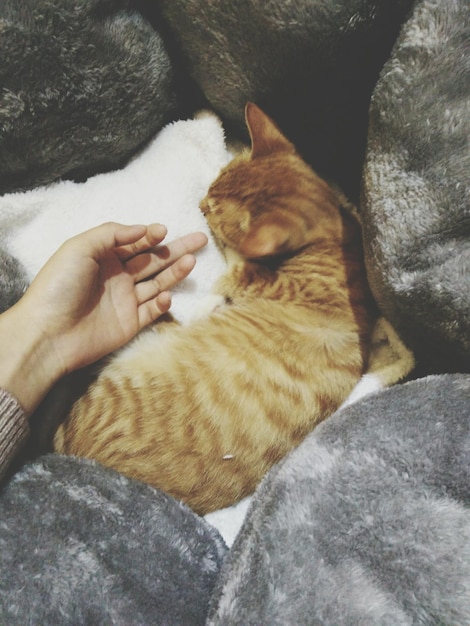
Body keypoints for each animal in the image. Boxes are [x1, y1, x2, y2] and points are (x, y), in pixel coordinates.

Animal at [52, 102, 374, 512]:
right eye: (212, 187)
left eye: (213, 211)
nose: (200, 205)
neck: (334, 243)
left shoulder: (254, 278)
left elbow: (234, 268)